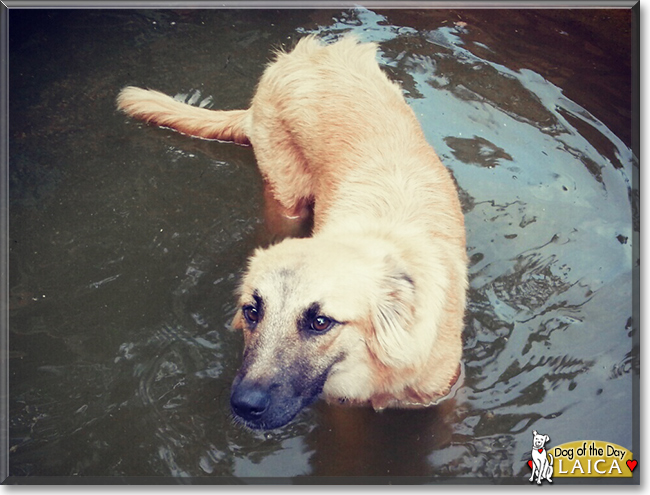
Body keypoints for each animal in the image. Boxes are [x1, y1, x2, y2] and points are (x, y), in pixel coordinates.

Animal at [116, 35, 466, 430]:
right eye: (252, 312)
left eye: (320, 322)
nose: (245, 405)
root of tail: (296, 57)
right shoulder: (341, 409)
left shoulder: (445, 396)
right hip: (286, 202)